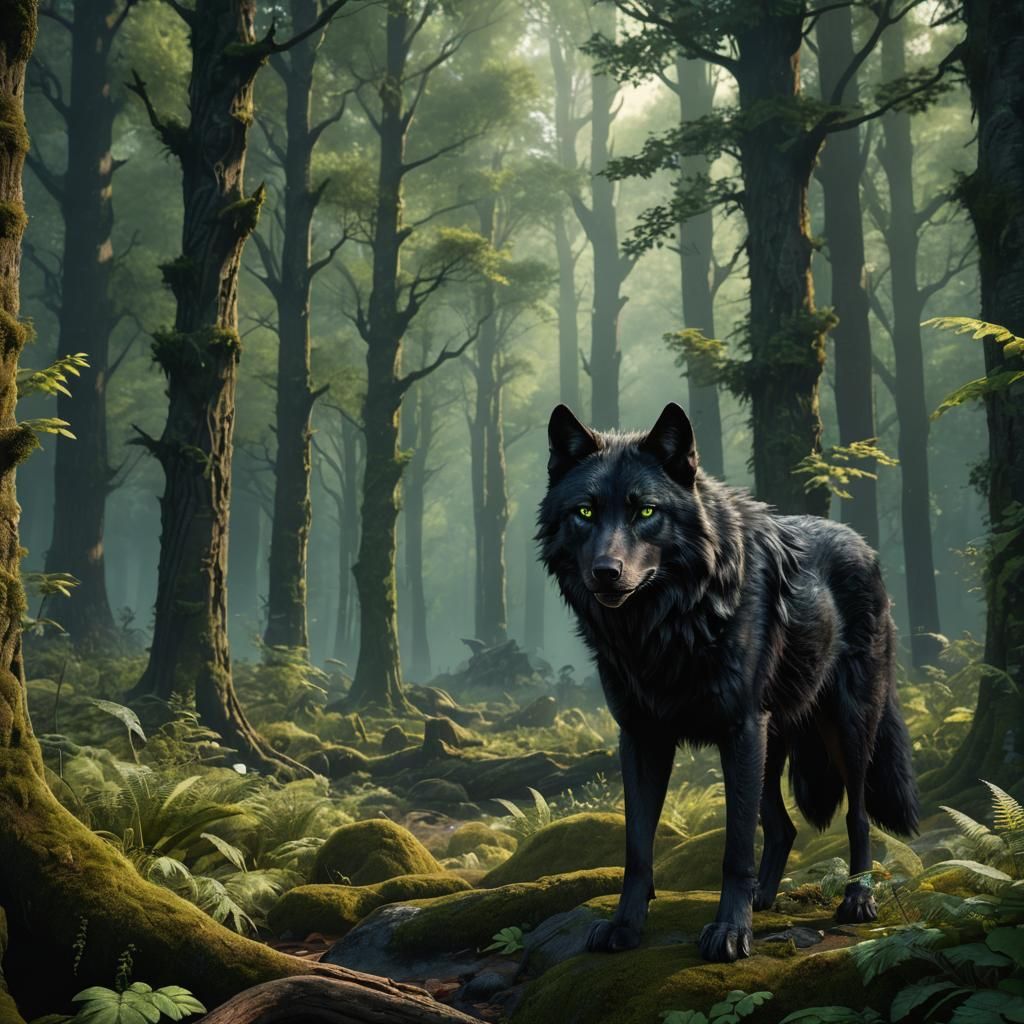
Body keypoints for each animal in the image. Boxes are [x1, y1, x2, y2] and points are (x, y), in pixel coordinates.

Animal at [537, 402, 919, 964]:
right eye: (584, 513)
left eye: (645, 512)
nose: (606, 572)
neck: (666, 624)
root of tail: (864, 546)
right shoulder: (641, 737)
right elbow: (637, 849)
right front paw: (626, 927)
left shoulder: (739, 729)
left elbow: (736, 848)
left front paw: (730, 933)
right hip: (771, 744)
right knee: (782, 827)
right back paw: (764, 899)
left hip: (844, 729)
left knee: (858, 814)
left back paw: (857, 900)